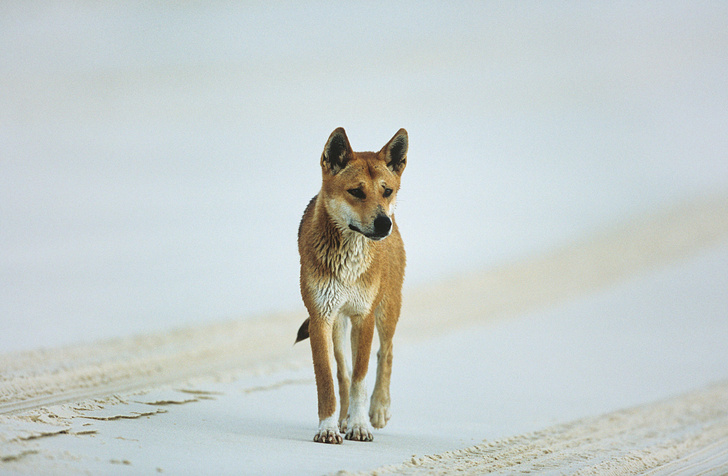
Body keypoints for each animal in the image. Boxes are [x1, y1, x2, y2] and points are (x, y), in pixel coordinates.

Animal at [296, 126, 410, 442]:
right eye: (356, 192)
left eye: (386, 191)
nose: (384, 223)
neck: (348, 262)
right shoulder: (321, 317)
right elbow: (329, 380)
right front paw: (328, 427)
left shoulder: (364, 316)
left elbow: (361, 377)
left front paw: (360, 424)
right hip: (338, 324)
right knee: (342, 372)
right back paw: (343, 419)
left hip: (387, 309)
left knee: (386, 352)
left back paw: (379, 409)